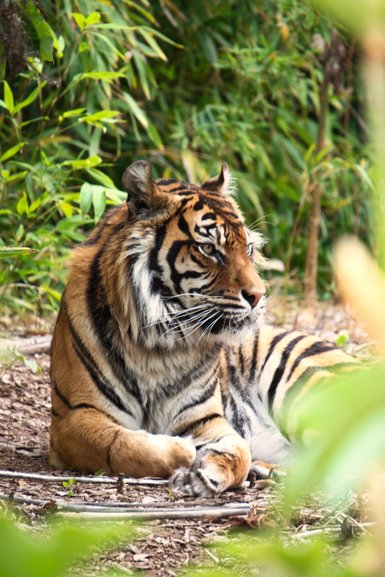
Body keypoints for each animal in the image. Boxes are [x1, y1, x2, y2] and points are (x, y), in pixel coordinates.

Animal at [49, 160, 356, 498]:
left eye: (249, 248)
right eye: (209, 249)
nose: (259, 295)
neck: (158, 343)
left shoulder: (205, 417)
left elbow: (239, 450)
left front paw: (206, 472)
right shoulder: (75, 416)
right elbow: (121, 444)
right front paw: (182, 451)